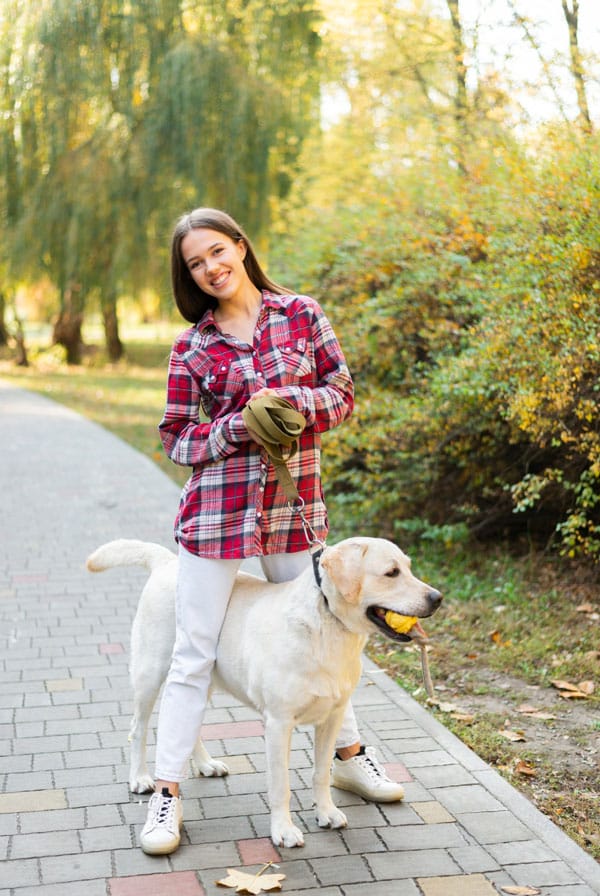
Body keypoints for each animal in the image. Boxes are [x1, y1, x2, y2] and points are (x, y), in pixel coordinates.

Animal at [86, 540, 440, 848]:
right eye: (391, 572)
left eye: (409, 567)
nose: (437, 597)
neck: (329, 626)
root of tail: (167, 562)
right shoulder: (279, 724)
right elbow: (280, 784)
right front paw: (283, 830)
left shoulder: (333, 716)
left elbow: (321, 773)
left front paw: (326, 813)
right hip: (152, 672)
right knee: (139, 727)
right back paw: (141, 778)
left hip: (205, 677)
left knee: (191, 724)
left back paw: (205, 764)